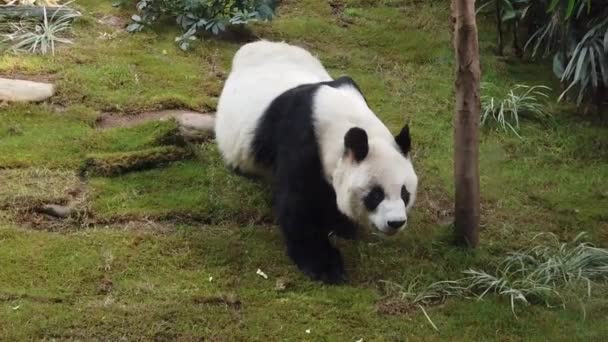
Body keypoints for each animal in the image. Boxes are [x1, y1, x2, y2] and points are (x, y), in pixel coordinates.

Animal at [214, 41, 418, 284]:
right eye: (375, 194)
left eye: (405, 193)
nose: (396, 222)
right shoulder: (298, 134)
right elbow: (297, 202)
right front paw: (325, 266)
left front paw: (342, 226)